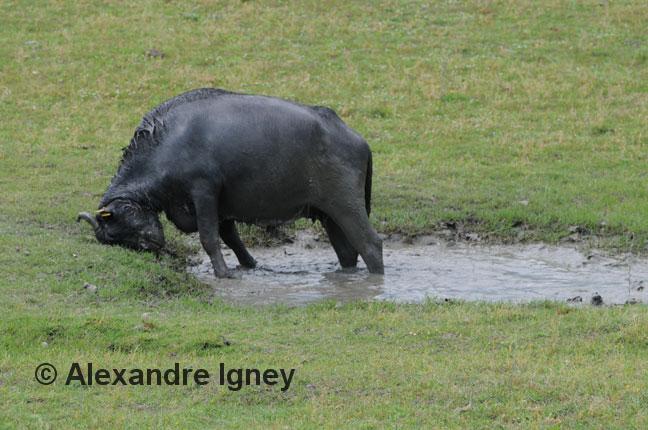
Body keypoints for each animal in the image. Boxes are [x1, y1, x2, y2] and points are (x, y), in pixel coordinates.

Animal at [78, 88, 384, 277]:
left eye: (119, 226)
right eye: (120, 240)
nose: (151, 244)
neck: (164, 143)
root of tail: (357, 139)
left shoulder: (204, 192)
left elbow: (210, 238)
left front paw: (223, 274)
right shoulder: (221, 208)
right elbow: (232, 239)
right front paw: (249, 266)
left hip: (346, 205)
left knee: (371, 244)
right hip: (329, 214)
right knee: (348, 252)